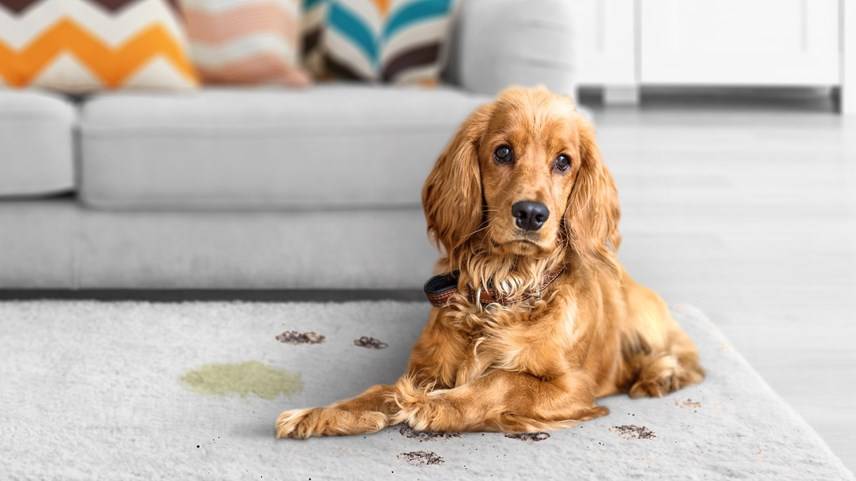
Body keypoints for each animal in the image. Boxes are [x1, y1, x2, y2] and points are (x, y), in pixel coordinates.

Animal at [274, 86, 704, 438]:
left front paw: (436, 405)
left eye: (564, 161)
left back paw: (660, 375)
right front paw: (318, 413)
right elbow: (380, 390)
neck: (503, 284)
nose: (531, 214)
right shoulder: (425, 366)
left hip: (642, 317)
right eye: (503, 152)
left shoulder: (571, 386)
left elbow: (501, 380)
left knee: (688, 356)